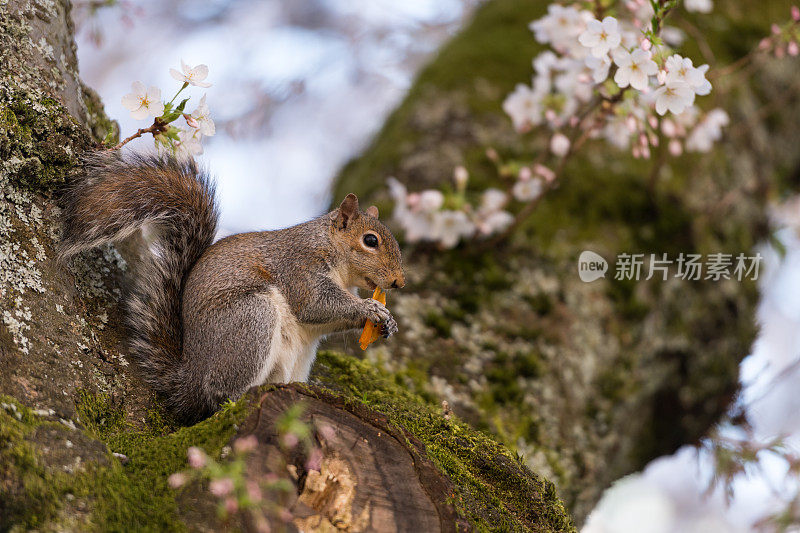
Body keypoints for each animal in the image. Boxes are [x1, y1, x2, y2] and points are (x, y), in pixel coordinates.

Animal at [59, 152, 404, 422]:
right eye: (370, 240)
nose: (398, 282)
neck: (334, 256)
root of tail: (189, 379)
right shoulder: (299, 268)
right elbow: (316, 305)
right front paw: (370, 307)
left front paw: (386, 320)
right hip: (250, 320)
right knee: (219, 395)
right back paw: (235, 400)